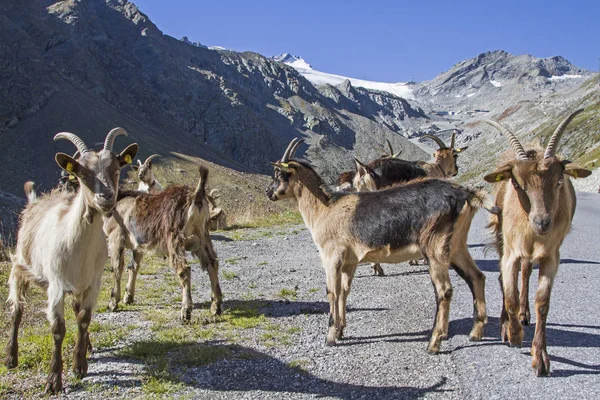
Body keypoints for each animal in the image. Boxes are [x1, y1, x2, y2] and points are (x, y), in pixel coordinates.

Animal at [4, 129, 138, 394]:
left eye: (116, 168)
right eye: (82, 173)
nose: (106, 197)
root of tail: (35, 201)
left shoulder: (93, 282)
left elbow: (84, 319)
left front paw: (80, 365)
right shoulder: (56, 284)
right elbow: (58, 329)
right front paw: (53, 380)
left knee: (76, 311)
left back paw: (87, 346)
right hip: (19, 267)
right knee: (17, 309)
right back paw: (11, 357)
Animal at [103, 166, 223, 322]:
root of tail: (196, 196)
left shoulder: (115, 237)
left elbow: (117, 268)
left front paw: (113, 303)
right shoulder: (139, 245)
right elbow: (134, 267)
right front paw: (128, 297)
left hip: (175, 238)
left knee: (184, 270)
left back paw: (185, 311)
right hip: (203, 237)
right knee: (212, 263)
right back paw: (216, 306)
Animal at [266, 139, 488, 352]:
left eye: (280, 174)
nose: (269, 192)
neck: (326, 208)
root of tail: (465, 196)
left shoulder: (331, 255)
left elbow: (332, 292)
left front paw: (330, 336)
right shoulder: (350, 261)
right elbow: (344, 290)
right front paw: (340, 330)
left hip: (435, 246)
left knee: (444, 290)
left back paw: (434, 343)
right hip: (457, 245)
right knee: (477, 276)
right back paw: (475, 332)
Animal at [482, 108, 592, 376]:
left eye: (559, 181)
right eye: (516, 183)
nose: (542, 222)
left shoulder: (551, 256)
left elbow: (543, 302)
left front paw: (540, 358)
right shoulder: (510, 252)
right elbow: (509, 293)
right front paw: (513, 334)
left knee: (526, 273)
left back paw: (524, 314)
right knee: (508, 280)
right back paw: (508, 322)